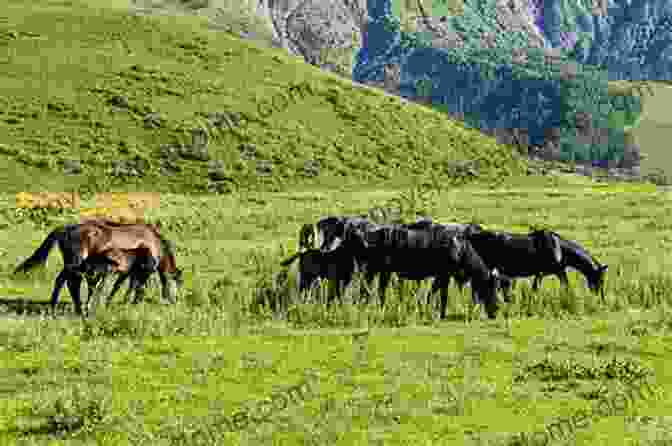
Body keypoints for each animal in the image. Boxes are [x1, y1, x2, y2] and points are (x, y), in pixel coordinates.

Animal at [15, 219, 184, 316]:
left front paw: (117, 302)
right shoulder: (142, 271)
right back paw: (71, 309)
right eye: (178, 283)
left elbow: (123, 286)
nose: (176, 302)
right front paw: (134, 303)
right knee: (69, 283)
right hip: (75, 263)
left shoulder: (129, 271)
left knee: (65, 281)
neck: (153, 243)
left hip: (73, 264)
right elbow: (139, 287)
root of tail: (66, 229)